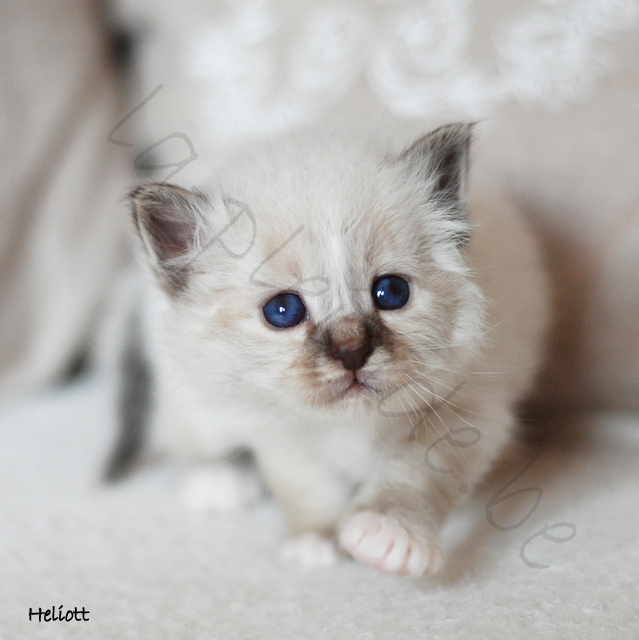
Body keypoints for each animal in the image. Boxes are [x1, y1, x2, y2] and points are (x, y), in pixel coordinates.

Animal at [106, 122, 552, 576]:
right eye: (283, 311)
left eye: (391, 292)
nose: (352, 352)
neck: (351, 423)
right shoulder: (277, 427)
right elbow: (308, 488)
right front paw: (316, 540)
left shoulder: (468, 408)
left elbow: (417, 471)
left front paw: (391, 531)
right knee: (184, 433)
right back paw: (217, 483)